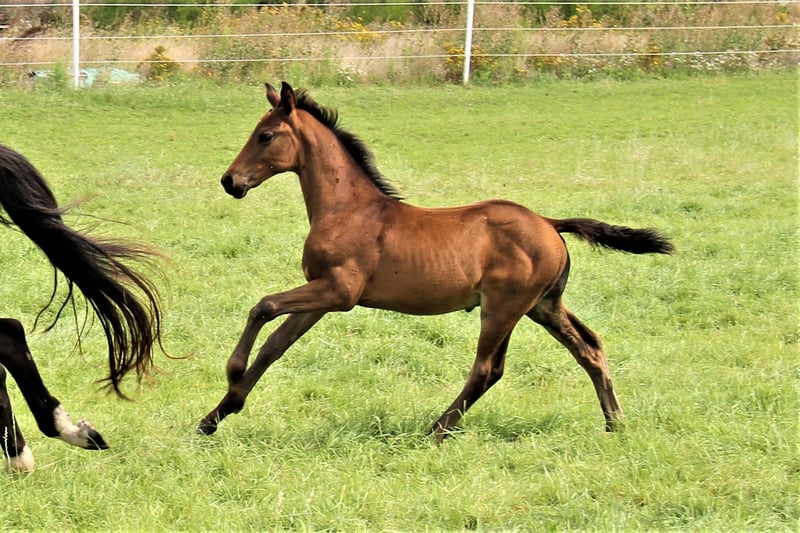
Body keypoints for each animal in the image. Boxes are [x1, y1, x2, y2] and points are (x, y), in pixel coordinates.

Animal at [198, 82, 674, 442]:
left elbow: (262, 306)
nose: (229, 181)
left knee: (487, 369)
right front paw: (215, 415)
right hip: (543, 306)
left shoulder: (339, 292)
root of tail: (549, 223)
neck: (347, 208)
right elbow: (275, 346)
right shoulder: (321, 296)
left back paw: (435, 431)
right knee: (589, 348)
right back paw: (615, 423)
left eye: (265, 135)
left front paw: (231, 374)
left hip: (502, 307)